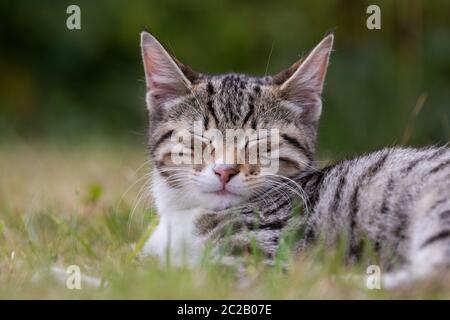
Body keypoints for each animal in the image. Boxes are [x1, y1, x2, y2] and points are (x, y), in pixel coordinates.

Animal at [140, 31, 450, 288]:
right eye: (199, 138)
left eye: (260, 141)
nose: (225, 171)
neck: (184, 214)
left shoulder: (264, 256)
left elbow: (200, 275)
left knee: (434, 276)